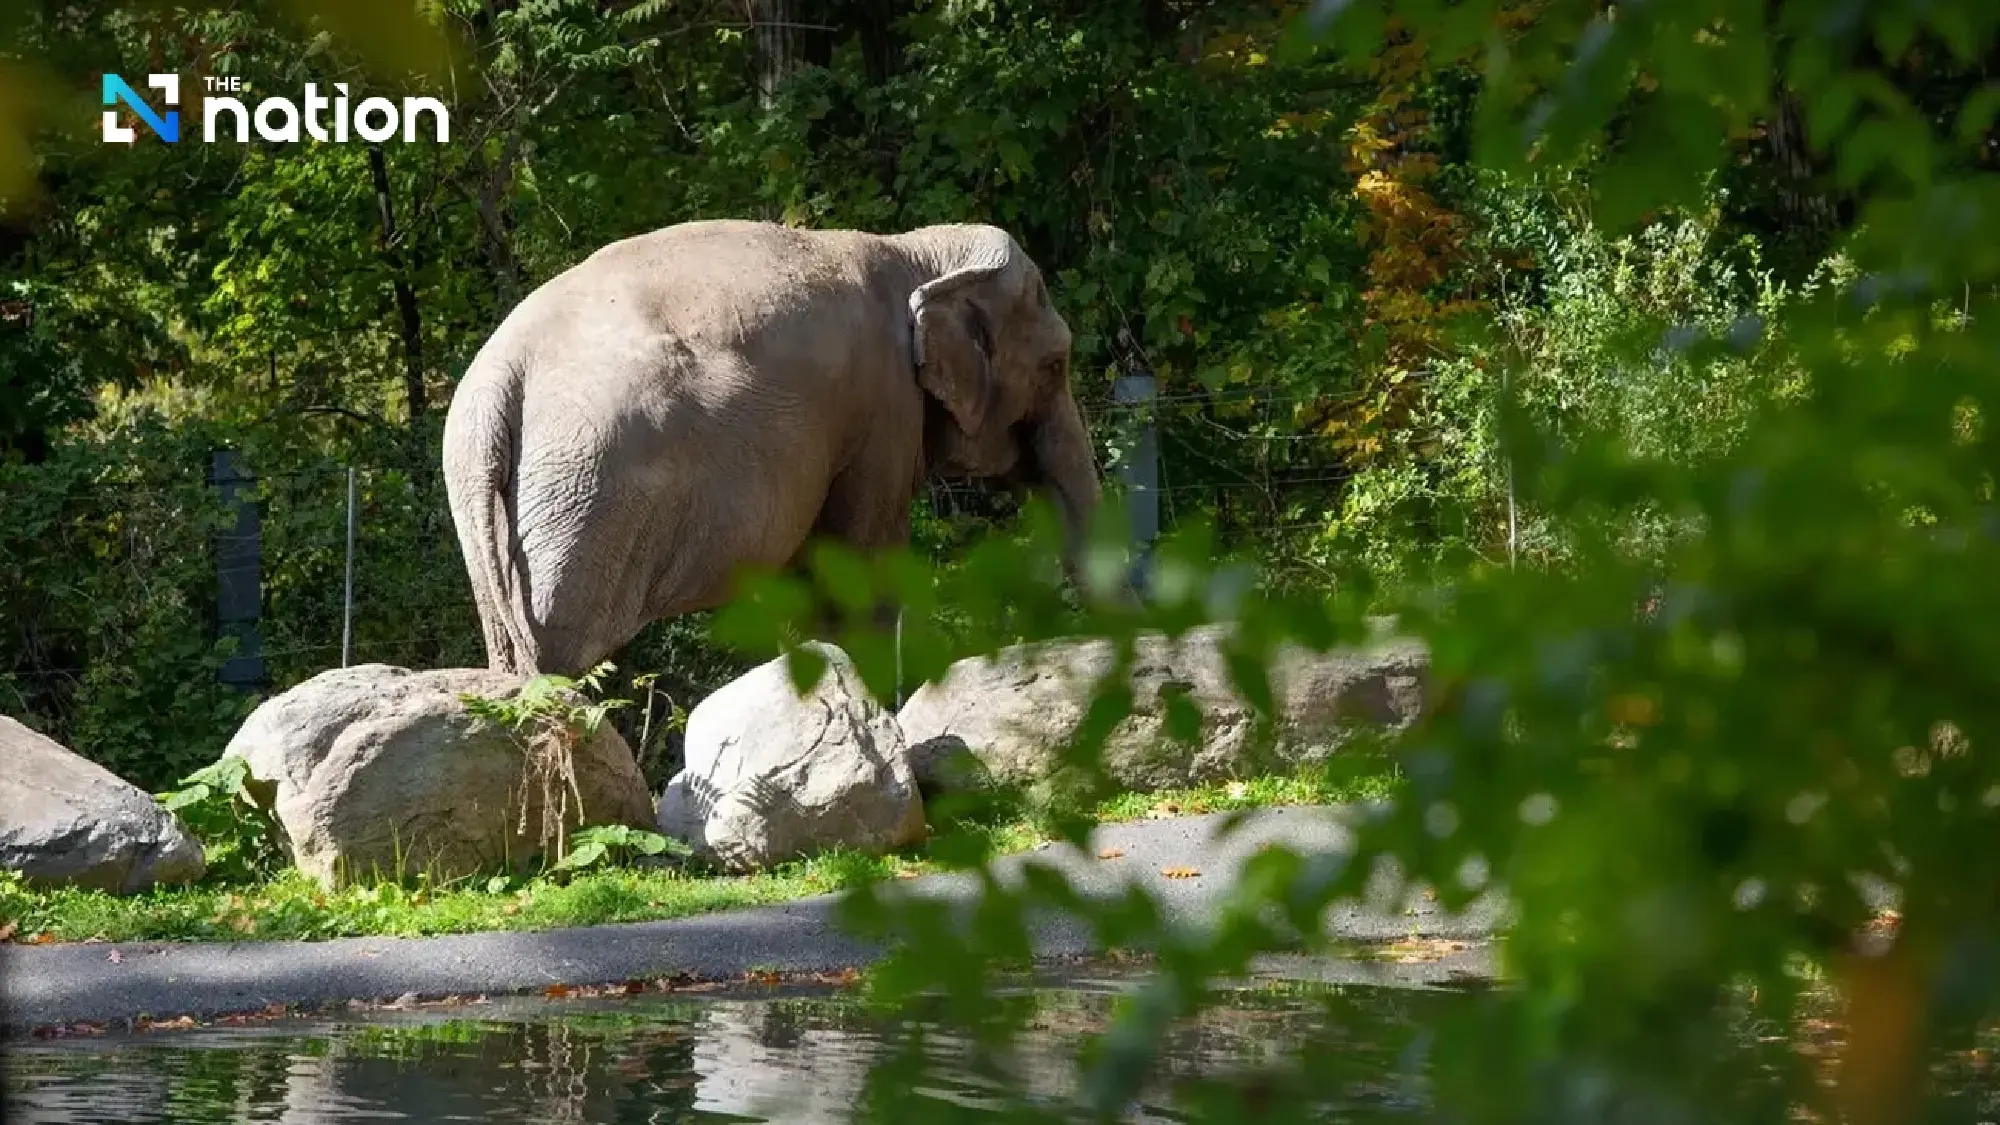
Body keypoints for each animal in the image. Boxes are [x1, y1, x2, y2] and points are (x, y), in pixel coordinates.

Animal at [441, 219, 1103, 676]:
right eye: (1055, 366)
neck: (917, 251)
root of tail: (502, 378)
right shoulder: (883, 409)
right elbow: (861, 575)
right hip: (585, 495)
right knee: (565, 651)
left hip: (487, 502)